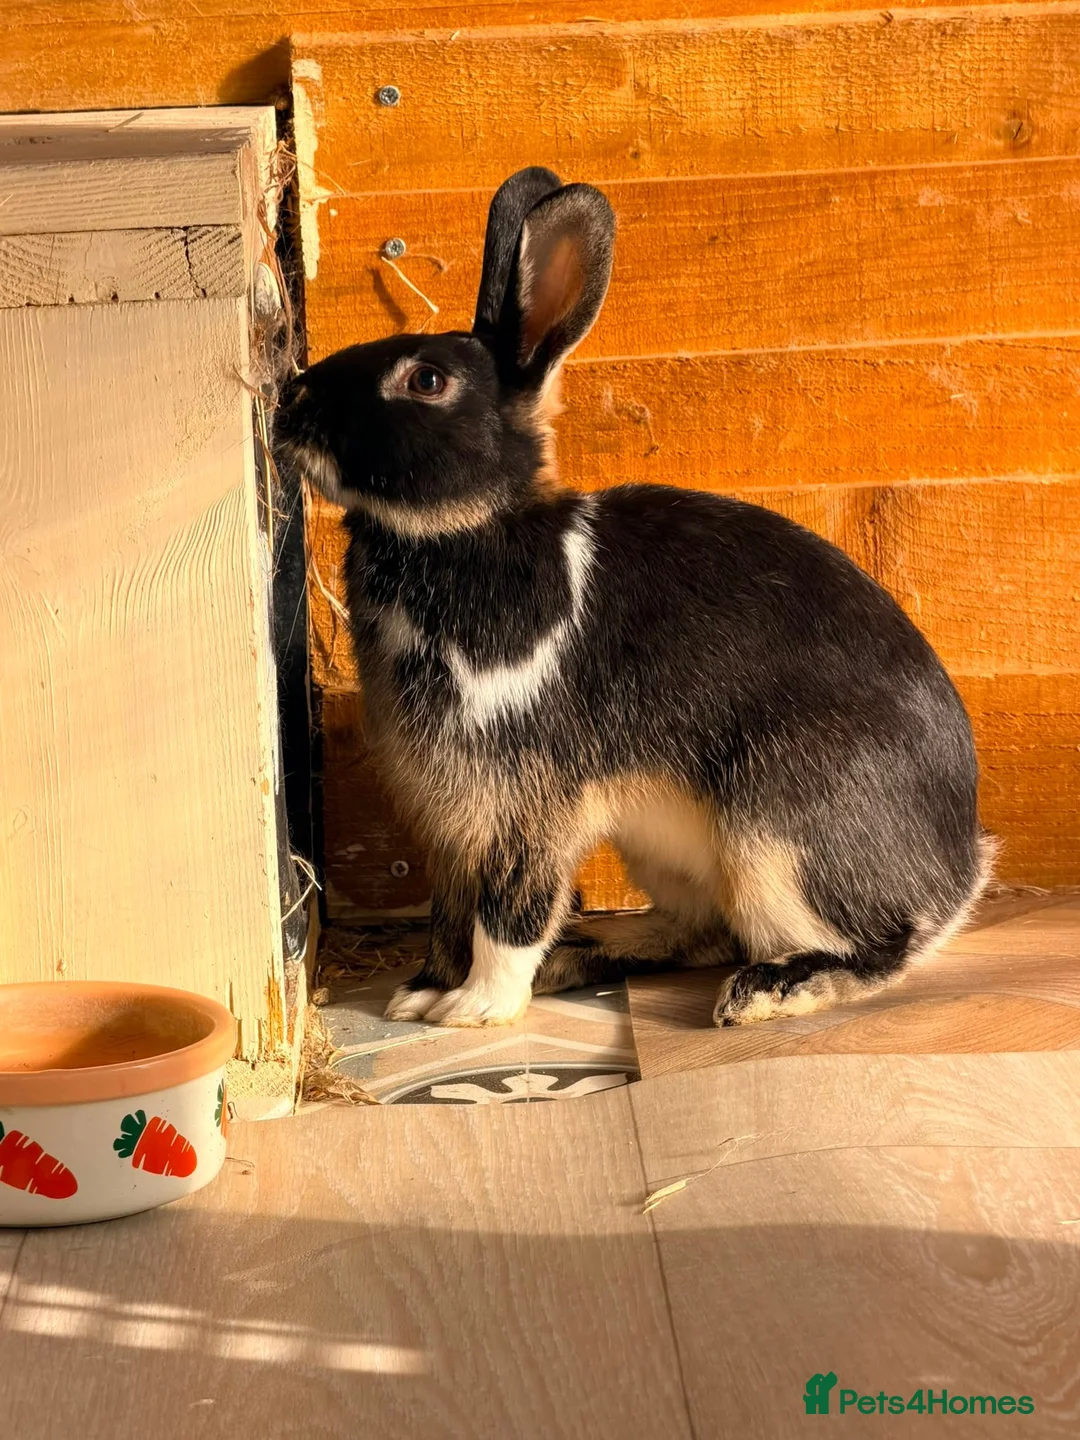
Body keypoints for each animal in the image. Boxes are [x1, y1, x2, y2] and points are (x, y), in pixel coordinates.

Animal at [274, 166, 992, 1030]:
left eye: (427, 380)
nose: (291, 401)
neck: (464, 534)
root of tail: (960, 869)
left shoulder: (527, 805)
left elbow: (508, 914)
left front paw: (475, 1008)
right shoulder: (448, 820)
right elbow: (450, 913)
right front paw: (421, 992)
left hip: (778, 839)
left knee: (876, 947)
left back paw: (767, 991)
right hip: (667, 848)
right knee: (701, 931)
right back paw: (588, 954)